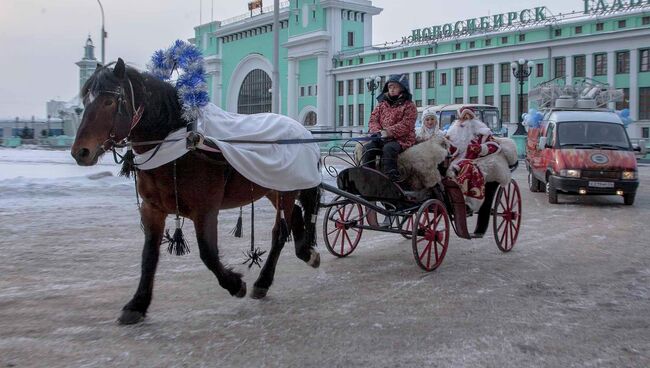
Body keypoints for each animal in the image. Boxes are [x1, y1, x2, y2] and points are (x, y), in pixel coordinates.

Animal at [71, 58, 322, 324]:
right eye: (85, 101)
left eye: (109, 101)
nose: (81, 152)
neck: (184, 144)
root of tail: (303, 131)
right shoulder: (152, 209)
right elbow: (149, 255)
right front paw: (137, 304)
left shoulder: (205, 210)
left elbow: (208, 253)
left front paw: (235, 284)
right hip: (274, 186)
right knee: (296, 215)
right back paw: (305, 253)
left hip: (286, 190)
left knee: (280, 232)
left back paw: (264, 281)